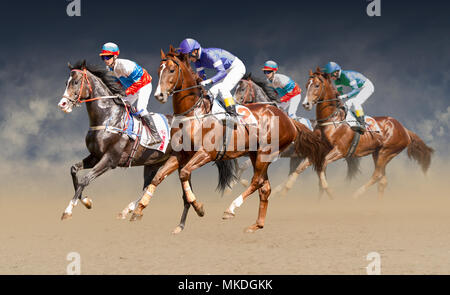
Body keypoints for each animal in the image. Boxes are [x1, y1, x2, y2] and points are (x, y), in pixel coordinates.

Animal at [57, 61, 174, 221]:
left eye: (75, 82)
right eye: (66, 82)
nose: (62, 104)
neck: (108, 117)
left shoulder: (110, 159)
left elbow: (85, 179)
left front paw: (68, 210)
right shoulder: (95, 156)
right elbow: (74, 170)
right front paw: (86, 201)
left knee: (156, 182)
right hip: (152, 163)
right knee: (149, 185)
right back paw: (127, 210)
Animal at [127, 46, 330, 234]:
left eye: (171, 70)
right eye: (158, 70)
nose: (159, 95)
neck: (195, 112)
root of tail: (289, 119)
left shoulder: (206, 153)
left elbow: (184, 173)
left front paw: (199, 207)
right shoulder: (181, 154)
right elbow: (159, 176)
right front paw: (138, 210)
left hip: (266, 153)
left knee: (256, 181)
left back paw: (231, 209)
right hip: (256, 154)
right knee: (264, 187)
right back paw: (257, 225)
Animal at [300, 68, 434, 200]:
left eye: (317, 85)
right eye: (306, 85)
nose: (305, 104)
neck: (332, 119)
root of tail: (404, 129)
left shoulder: (340, 150)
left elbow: (322, 166)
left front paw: (331, 193)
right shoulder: (320, 149)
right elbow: (305, 167)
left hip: (387, 151)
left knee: (377, 175)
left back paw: (356, 194)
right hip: (377, 153)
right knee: (382, 180)